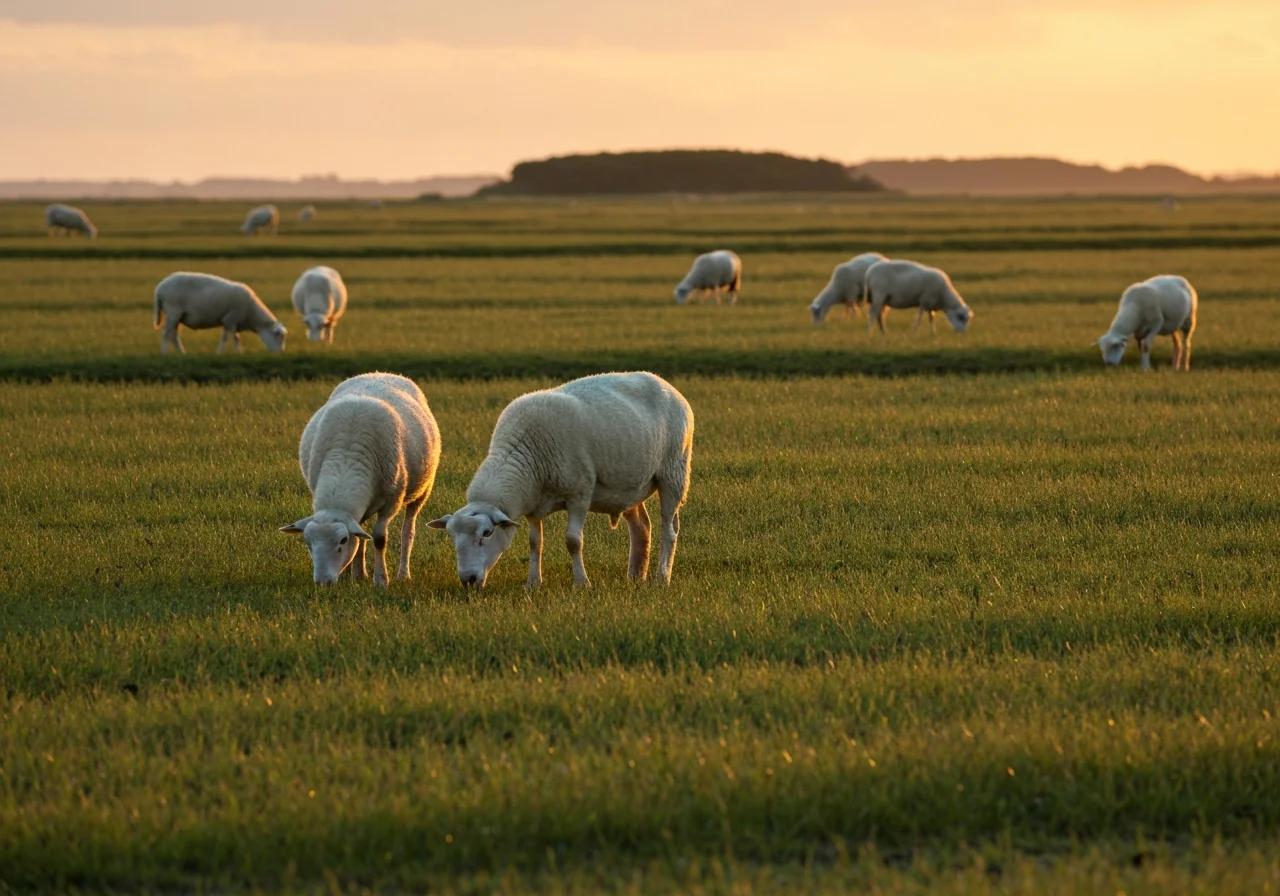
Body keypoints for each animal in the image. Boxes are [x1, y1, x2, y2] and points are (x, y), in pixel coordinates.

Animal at [153, 271, 287, 354]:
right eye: (278, 337)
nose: (281, 352)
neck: (252, 316)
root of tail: (159, 288)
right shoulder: (230, 319)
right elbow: (230, 338)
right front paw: (230, 353)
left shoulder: (230, 322)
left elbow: (230, 338)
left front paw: (229, 353)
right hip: (173, 311)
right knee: (166, 334)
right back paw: (164, 354)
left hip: (178, 316)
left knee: (174, 335)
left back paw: (182, 353)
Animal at [281, 373, 441, 586]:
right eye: (308, 543)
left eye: (342, 541)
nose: (323, 582)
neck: (346, 463)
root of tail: (381, 373)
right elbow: (360, 536)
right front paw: (356, 575)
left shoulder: (392, 501)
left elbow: (379, 538)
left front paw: (381, 580)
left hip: (422, 490)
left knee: (408, 531)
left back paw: (403, 574)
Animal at [429, 371, 694, 589]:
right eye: (451, 536)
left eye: (486, 533)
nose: (468, 580)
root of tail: (666, 384)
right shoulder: (533, 504)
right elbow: (535, 542)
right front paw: (533, 583)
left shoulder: (579, 494)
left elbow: (573, 541)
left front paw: (582, 583)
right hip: (630, 486)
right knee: (641, 527)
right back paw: (635, 576)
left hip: (674, 472)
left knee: (669, 529)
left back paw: (662, 577)